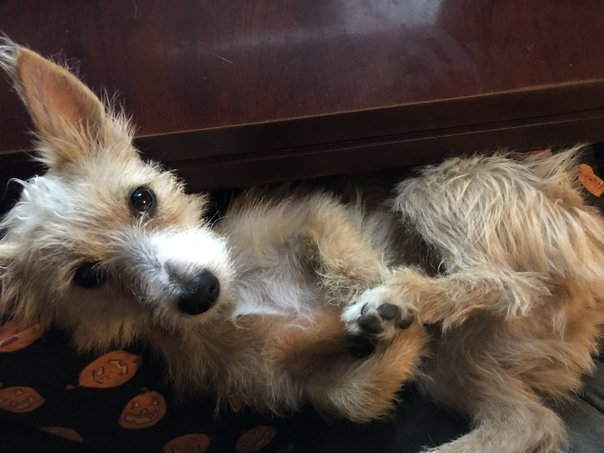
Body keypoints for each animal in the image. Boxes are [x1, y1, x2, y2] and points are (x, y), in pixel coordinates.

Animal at [1, 40, 603, 452]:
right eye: (88, 277)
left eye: (142, 198)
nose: (198, 291)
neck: (243, 296)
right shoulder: (307, 382)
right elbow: (357, 399)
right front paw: (397, 339)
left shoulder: (312, 213)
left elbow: (347, 260)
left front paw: (378, 294)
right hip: (460, 365)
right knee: (531, 420)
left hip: (437, 187)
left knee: (510, 284)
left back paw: (403, 297)